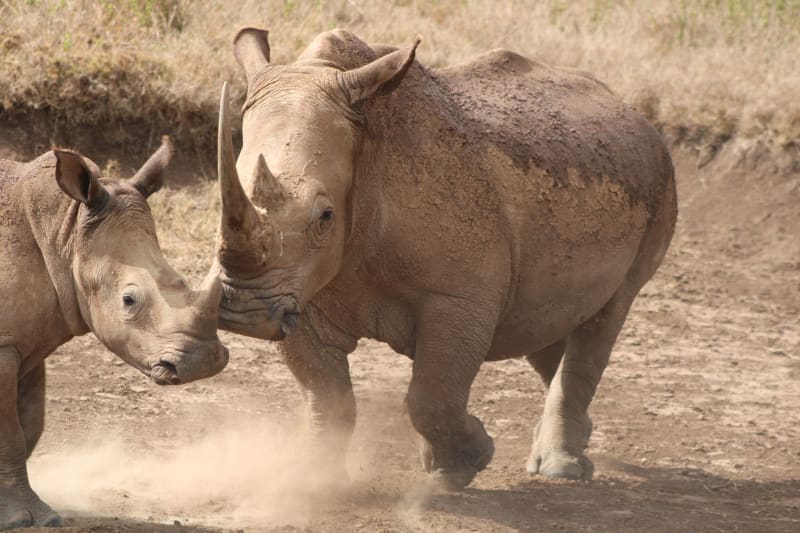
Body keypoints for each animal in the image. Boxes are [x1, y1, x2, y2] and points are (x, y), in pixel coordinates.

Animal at [0, 137, 229, 529]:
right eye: (129, 300)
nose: (203, 363)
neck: (64, 231)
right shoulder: (4, 344)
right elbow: (10, 432)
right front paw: (24, 519)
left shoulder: (25, 339)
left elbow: (30, 422)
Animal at [215, 28, 677, 489]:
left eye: (326, 216)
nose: (244, 311)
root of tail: (633, 112)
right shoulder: (298, 289)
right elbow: (326, 396)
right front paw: (315, 480)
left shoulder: (458, 297)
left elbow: (432, 392)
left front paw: (463, 465)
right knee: (547, 320)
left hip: (659, 182)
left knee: (608, 314)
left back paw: (561, 468)